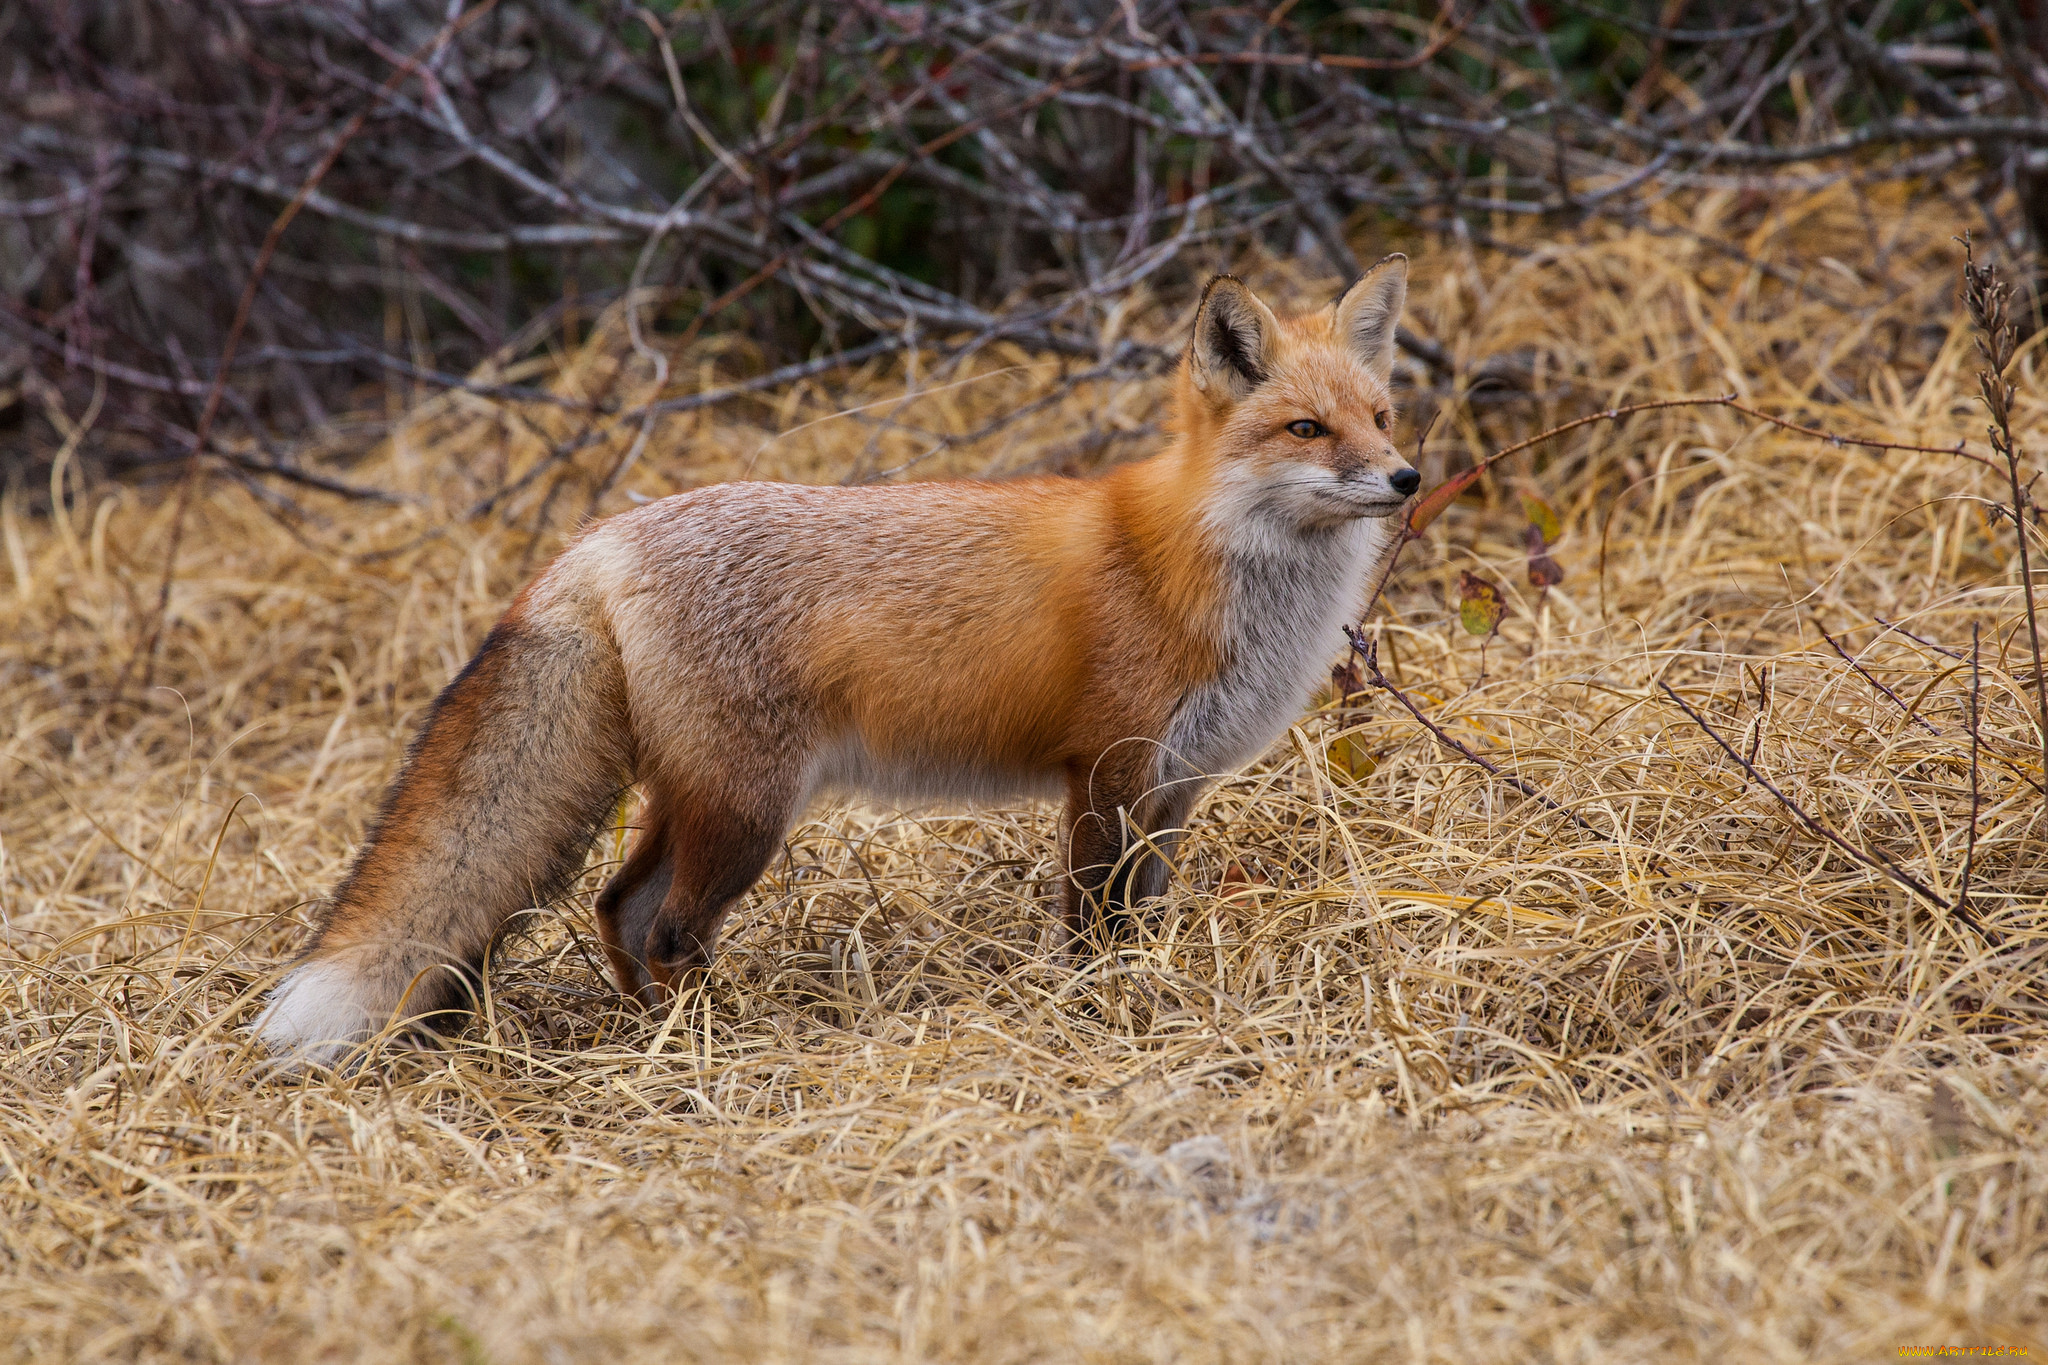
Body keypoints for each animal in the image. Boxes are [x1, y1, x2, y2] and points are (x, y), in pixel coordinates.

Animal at [247, 258, 1417, 1064]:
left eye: (1379, 415)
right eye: (1306, 430)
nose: (1405, 477)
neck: (1202, 564)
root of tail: (601, 536)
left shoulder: (1172, 783)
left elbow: (1142, 917)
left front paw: (1140, 991)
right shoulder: (1106, 771)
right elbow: (1091, 926)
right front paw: (1097, 1013)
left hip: (700, 794)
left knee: (616, 906)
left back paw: (649, 1036)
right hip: (748, 809)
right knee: (664, 924)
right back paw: (704, 1042)